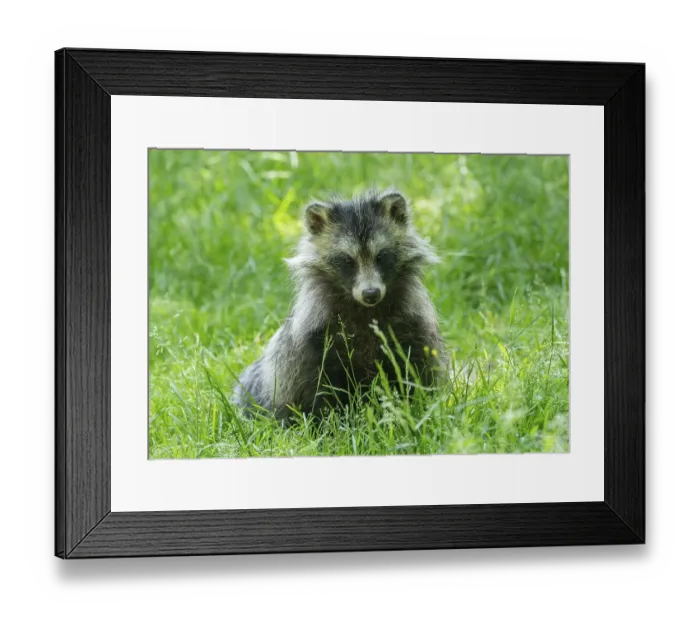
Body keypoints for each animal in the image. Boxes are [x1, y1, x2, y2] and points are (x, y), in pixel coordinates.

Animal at [233, 189, 446, 420]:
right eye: (347, 260)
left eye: (381, 256)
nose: (370, 294)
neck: (365, 310)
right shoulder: (314, 338)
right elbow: (317, 384)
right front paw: (328, 420)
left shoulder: (409, 323)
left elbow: (414, 367)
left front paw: (414, 406)